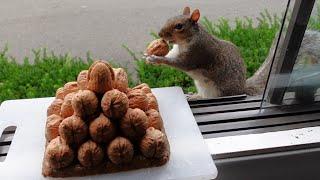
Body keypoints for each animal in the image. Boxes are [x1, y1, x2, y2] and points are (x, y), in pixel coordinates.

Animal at [146, 7, 320, 99]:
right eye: (169, 18)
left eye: (179, 26)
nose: (160, 34)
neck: (185, 41)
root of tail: (242, 89)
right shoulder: (176, 50)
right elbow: (170, 55)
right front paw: (149, 56)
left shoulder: (197, 52)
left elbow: (179, 63)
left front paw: (155, 58)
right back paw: (193, 96)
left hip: (218, 90)